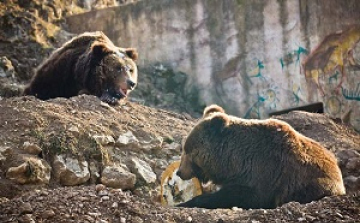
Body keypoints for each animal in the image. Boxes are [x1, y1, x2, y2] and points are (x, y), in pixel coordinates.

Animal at [177, 104, 346, 209]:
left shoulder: (266, 172)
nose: (179, 172)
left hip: (313, 185)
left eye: (187, 151)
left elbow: (243, 195)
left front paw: (187, 202)